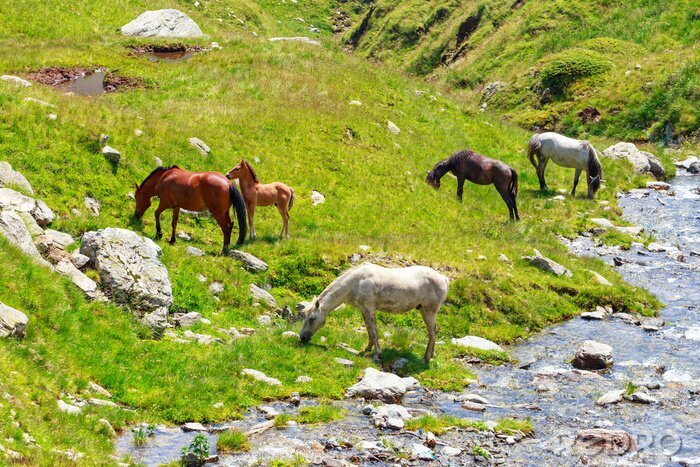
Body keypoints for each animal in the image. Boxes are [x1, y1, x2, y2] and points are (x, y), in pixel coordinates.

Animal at [299, 263, 450, 363]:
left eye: (312, 318)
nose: (302, 338)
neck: (356, 282)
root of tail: (443, 278)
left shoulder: (369, 308)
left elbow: (373, 330)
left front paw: (377, 354)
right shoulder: (363, 310)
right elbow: (368, 329)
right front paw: (367, 348)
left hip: (428, 312)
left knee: (432, 332)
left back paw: (425, 358)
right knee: (434, 332)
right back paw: (431, 355)